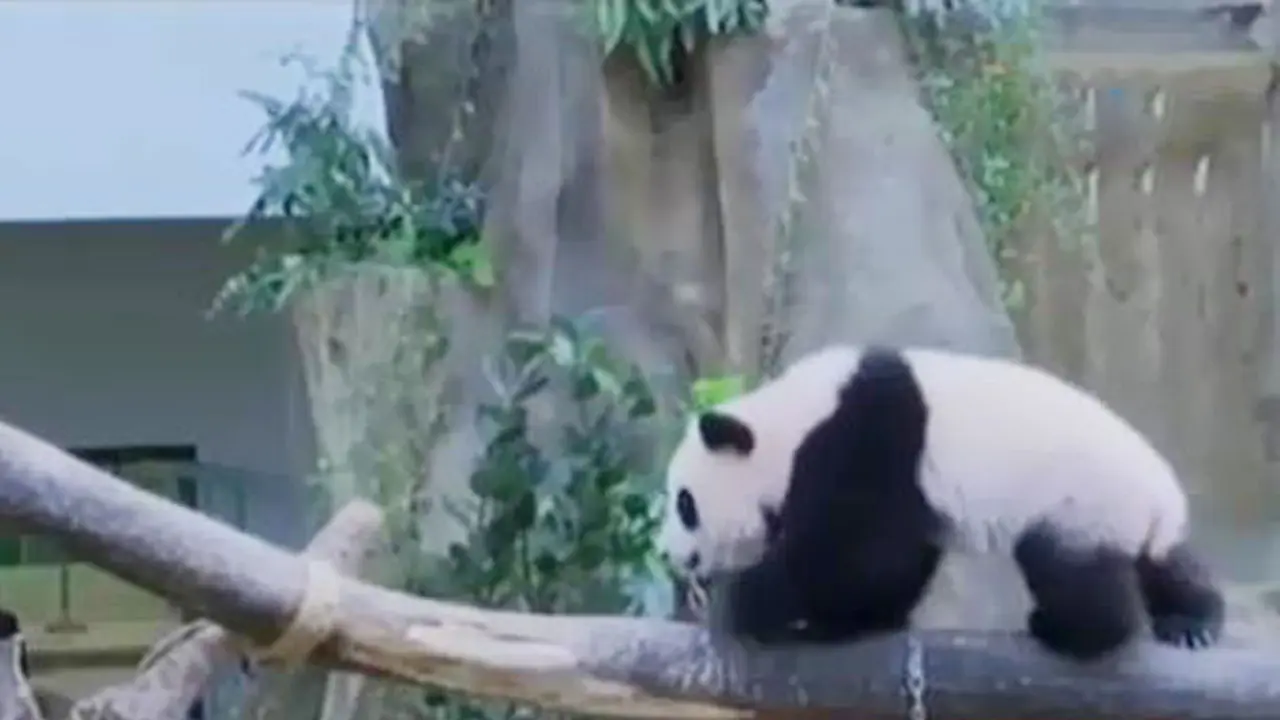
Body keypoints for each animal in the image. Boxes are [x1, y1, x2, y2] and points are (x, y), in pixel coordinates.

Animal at [657, 343, 1226, 661]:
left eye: (685, 504)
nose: (667, 554)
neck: (788, 422)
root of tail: (1156, 500)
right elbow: (893, 559)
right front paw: (859, 621)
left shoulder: (864, 435)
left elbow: (850, 552)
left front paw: (741, 604)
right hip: (1129, 517)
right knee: (1167, 562)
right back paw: (1193, 623)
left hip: (1080, 502)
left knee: (1072, 575)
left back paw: (1065, 629)